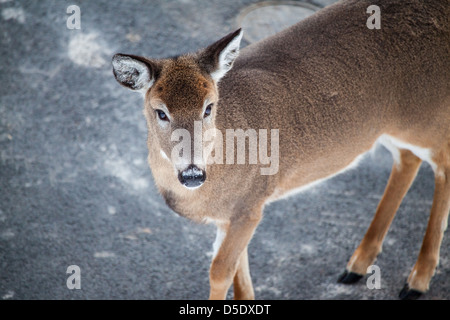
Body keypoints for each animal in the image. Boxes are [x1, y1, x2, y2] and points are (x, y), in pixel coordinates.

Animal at [112, 0, 450, 300]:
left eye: (209, 107)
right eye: (161, 112)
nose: (192, 173)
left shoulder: (251, 201)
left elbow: (220, 270)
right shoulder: (233, 214)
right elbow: (238, 271)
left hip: (428, 113)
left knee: (442, 163)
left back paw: (417, 280)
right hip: (392, 127)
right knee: (407, 158)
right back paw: (358, 265)